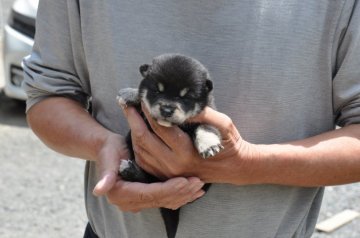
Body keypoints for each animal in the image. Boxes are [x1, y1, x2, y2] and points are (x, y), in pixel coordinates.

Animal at [115, 53, 222, 238]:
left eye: (185, 97)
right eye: (158, 90)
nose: (166, 109)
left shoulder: (208, 115)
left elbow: (205, 127)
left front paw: (208, 144)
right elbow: (142, 97)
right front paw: (131, 93)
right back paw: (130, 170)